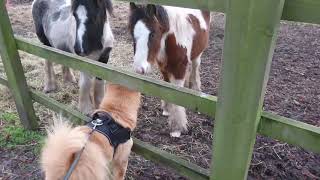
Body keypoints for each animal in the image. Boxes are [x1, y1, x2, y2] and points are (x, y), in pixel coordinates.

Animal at [129, 2, 211, 137]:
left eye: (152, 34)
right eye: (132, 34)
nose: (139, 69)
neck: (169, 41)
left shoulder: (179, 70)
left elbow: (176, 95)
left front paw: (176, 129)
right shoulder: (163, 67)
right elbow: (167, 86)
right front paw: (167, 109)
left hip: (198, 52)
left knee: (195, 68)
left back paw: (196, 89)